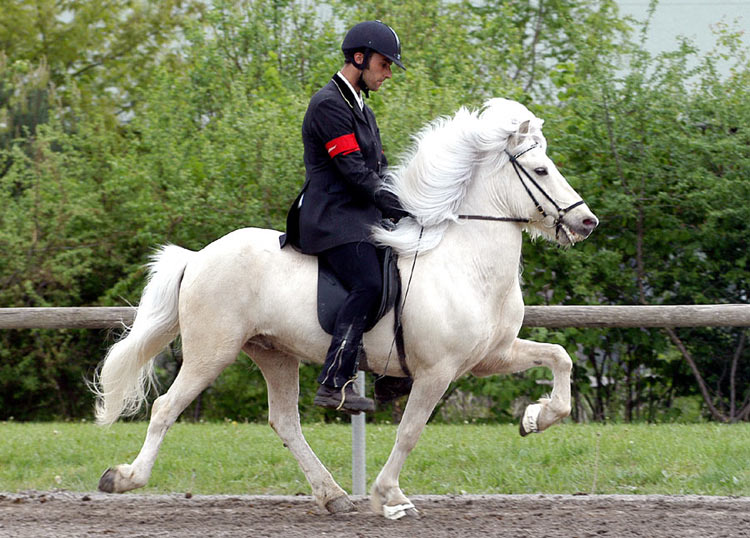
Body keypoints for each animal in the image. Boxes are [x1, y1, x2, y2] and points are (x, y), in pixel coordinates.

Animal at [92, 98, 600, 516]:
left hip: (273, 352)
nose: (586, 222)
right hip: (211, 351)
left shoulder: (490, 355)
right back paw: (123, 477)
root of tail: (197, 257)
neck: (468, 262)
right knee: (165, 407)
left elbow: (560, 358)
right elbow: (410, 432)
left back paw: (333, 495)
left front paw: (536, 418)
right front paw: (389, 497)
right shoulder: (436, 372)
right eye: (540, 171)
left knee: (285, 422)